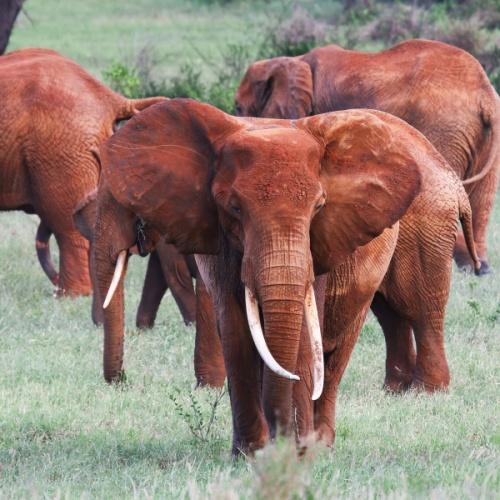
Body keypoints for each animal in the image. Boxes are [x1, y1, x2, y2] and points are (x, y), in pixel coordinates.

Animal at [90, 97, 480, 454]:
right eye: (234, 208)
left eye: (319, 206)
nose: (120, 381)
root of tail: (451, 178)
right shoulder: (216, 237)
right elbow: (235, 330)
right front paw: (250, 453)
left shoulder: (318, 244)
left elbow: (307, 333)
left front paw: (297, 452)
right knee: (388, 314)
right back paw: (392, 392)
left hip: (427, 221)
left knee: (411, 311)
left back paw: (405, 403)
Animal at [235, 37, 500, 276]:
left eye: (238, 107)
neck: (295, 61)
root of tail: (484, 92)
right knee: (482, 198)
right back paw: (479, 268)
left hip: (443, 127)